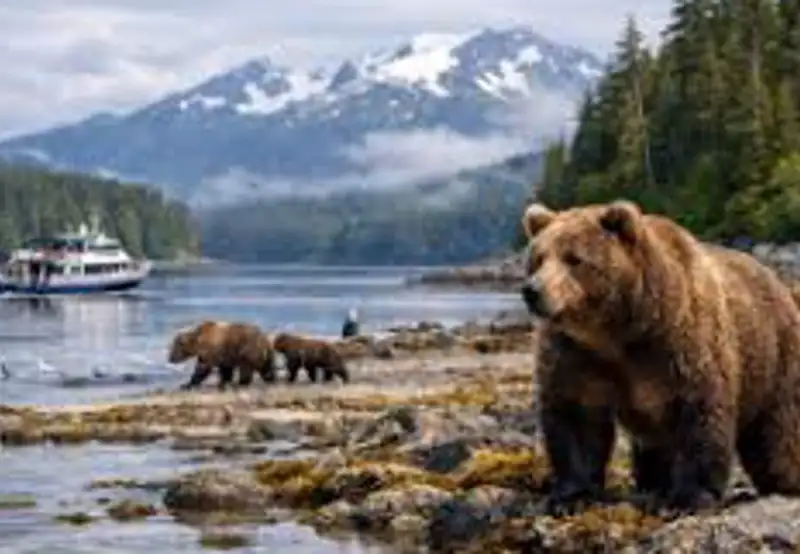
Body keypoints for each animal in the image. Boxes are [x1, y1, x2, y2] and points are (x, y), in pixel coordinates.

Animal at [519, 199, 800, 515]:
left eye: (574, 259)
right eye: (538, 259)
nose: (533, 290)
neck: (617, 332)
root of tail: (775, 279)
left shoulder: (682, 340)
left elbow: (700, 411)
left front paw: (692, 497)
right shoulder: (576, 355)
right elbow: (576, 415)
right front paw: (570, 496)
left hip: (773, 355)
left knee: (775, 431)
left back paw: (785, 480)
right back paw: (653, 483)